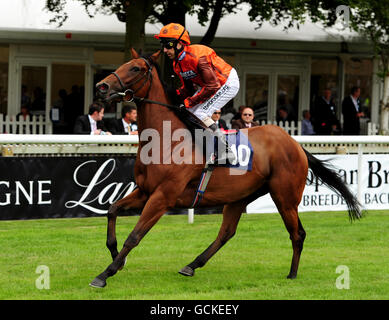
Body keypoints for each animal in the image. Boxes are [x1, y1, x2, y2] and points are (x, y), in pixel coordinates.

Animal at [89, 49, 362, 288]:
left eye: (135, 68)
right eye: (123, 64)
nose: (101, 86)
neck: (166, 140)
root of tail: (295, 144)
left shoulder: (162, 197)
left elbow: (135, 235)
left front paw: (105, 274)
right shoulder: (145, 191)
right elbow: (112, 210)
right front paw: (115, 255)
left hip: (285, 196)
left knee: (298, 233)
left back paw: (292, 274)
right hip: (240, 196)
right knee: (227, 232)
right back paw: (191, 265)